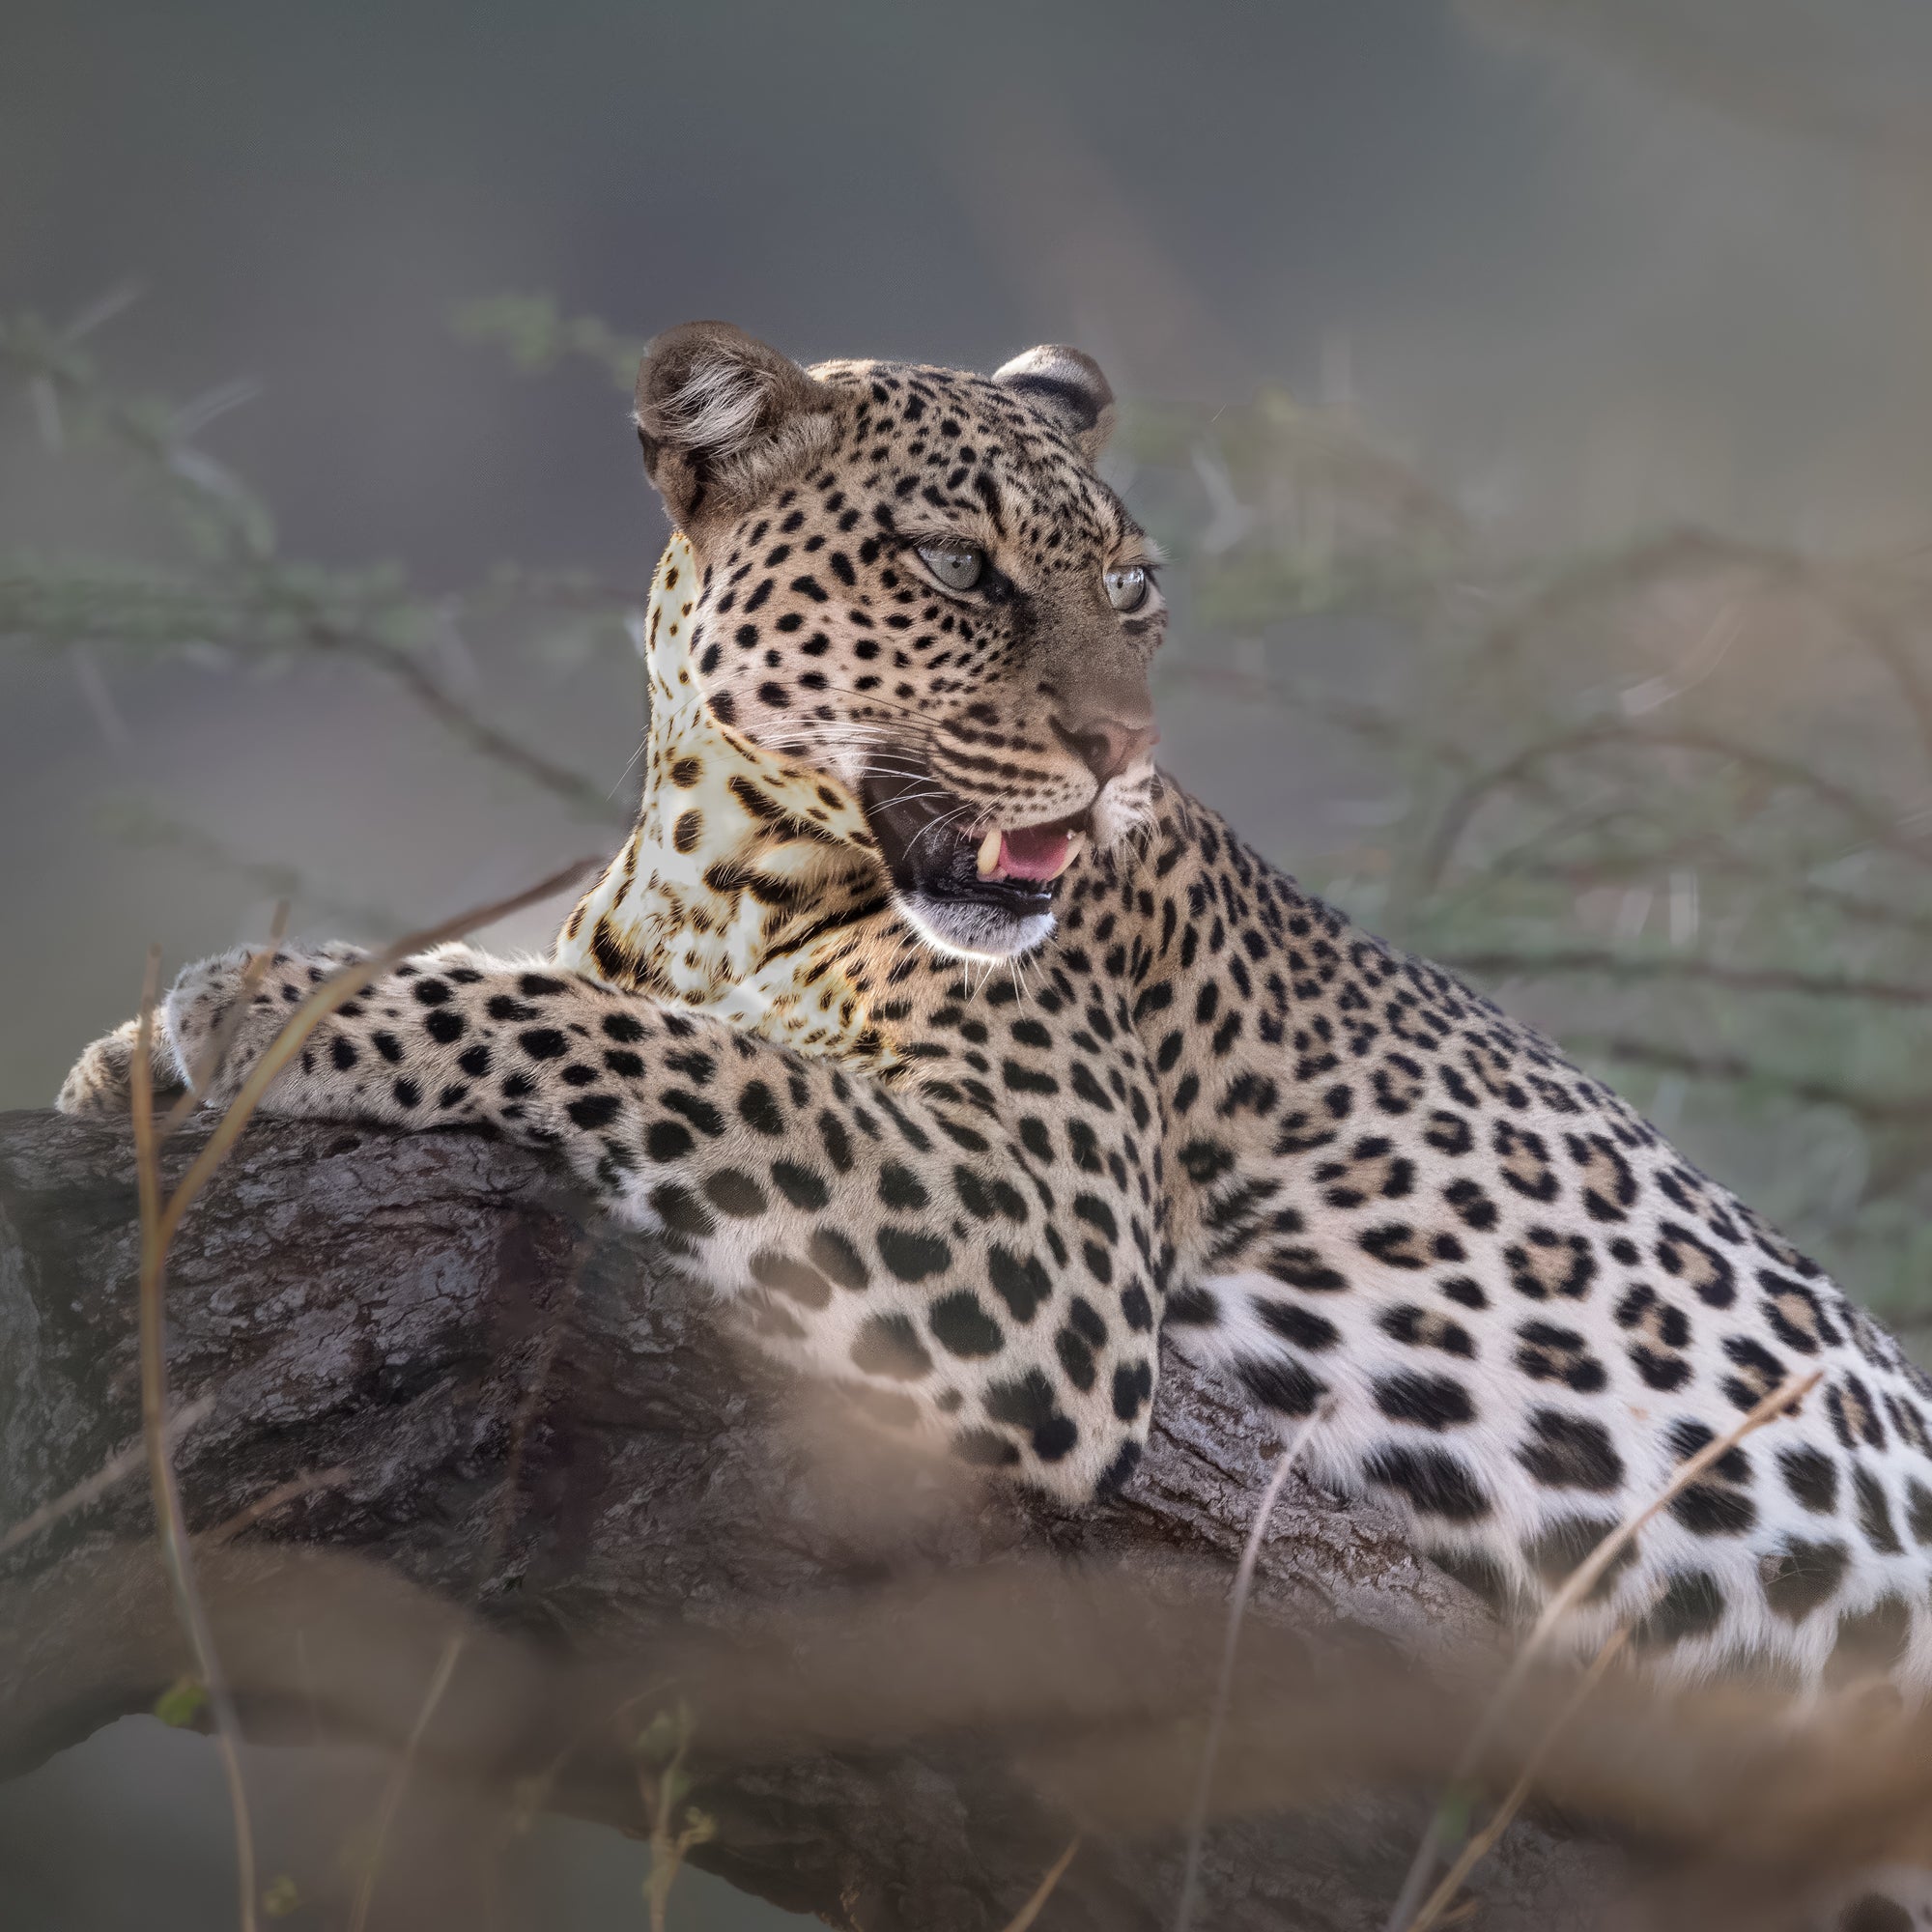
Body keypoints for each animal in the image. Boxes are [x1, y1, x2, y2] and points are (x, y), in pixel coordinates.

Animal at [57, 322, 1932, 1923]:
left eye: (1133, 586)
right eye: (959, 570)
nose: (1118, 757)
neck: (711, 883)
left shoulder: (1029, 1224)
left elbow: (642, 1040)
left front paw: (267, 999)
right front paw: (121, 1063)